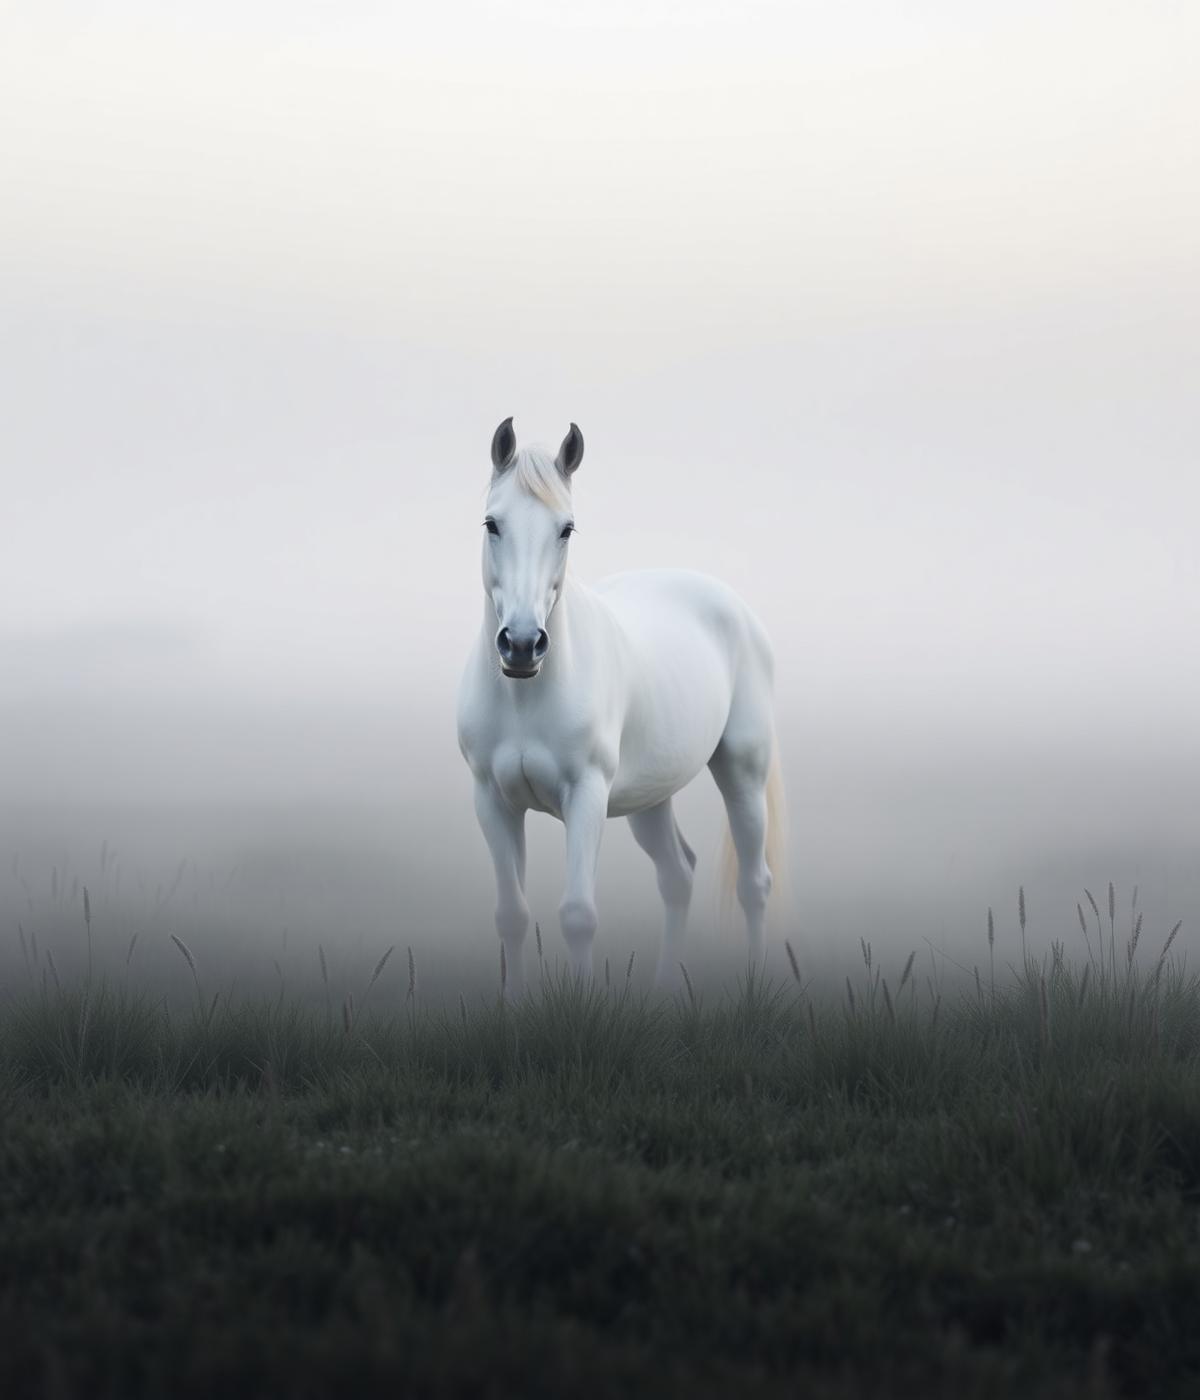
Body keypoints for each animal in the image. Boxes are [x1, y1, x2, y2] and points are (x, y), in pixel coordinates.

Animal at [456, 418, 785, 996]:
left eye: (566, 528)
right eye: (492, 523)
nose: (522, 644)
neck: (525, 698)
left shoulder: (586, 795)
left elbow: (578, 915)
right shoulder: (492, 800)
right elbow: (511, 915)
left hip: (743, 772)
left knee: (753, 883)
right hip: (649, 799)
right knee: (678, 876)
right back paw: (664, 990)